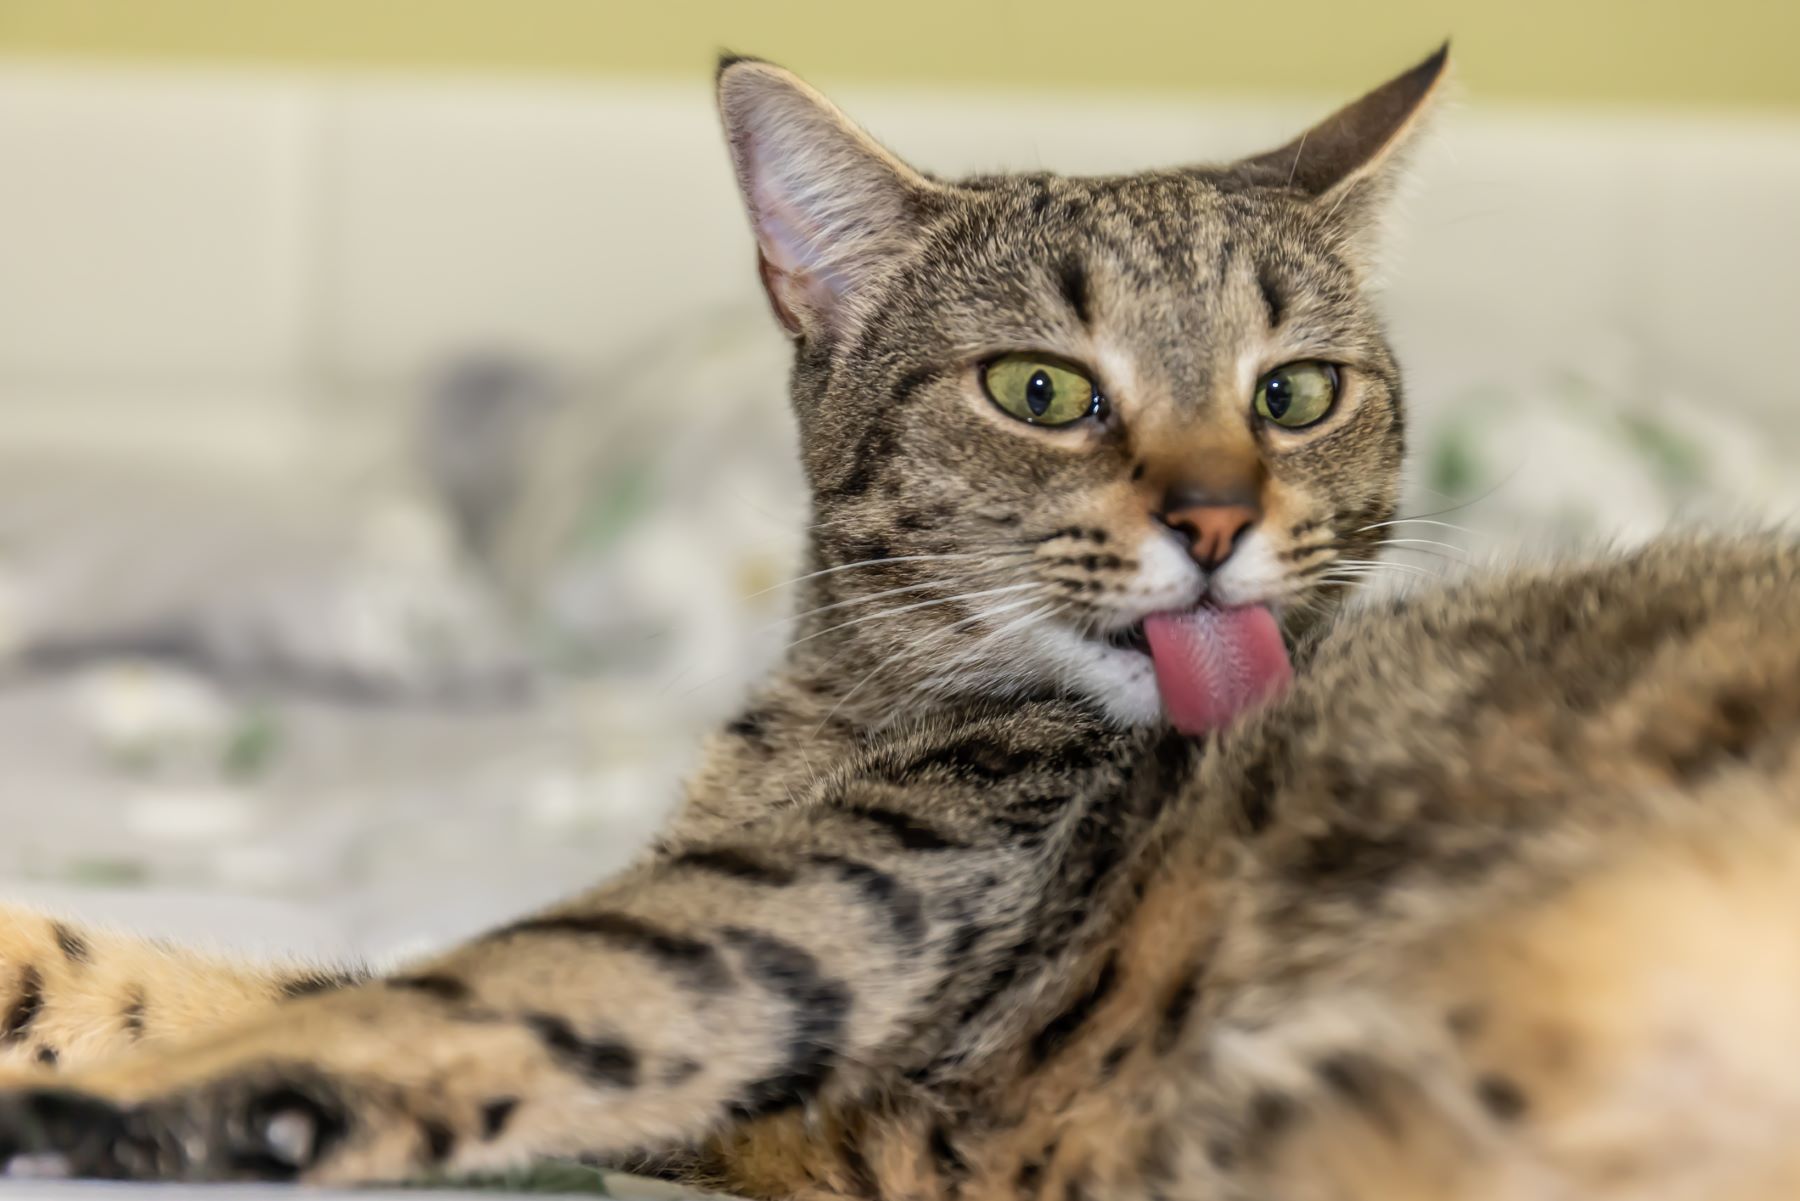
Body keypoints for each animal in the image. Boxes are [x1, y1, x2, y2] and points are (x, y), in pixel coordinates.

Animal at [0, 42, 1785, 1195]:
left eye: (1293, 393)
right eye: (1041, 389)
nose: (1218, 516)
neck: (832, 710)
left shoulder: (818, 918)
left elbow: (468, 981)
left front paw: (129, 1091)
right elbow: (232, 977)